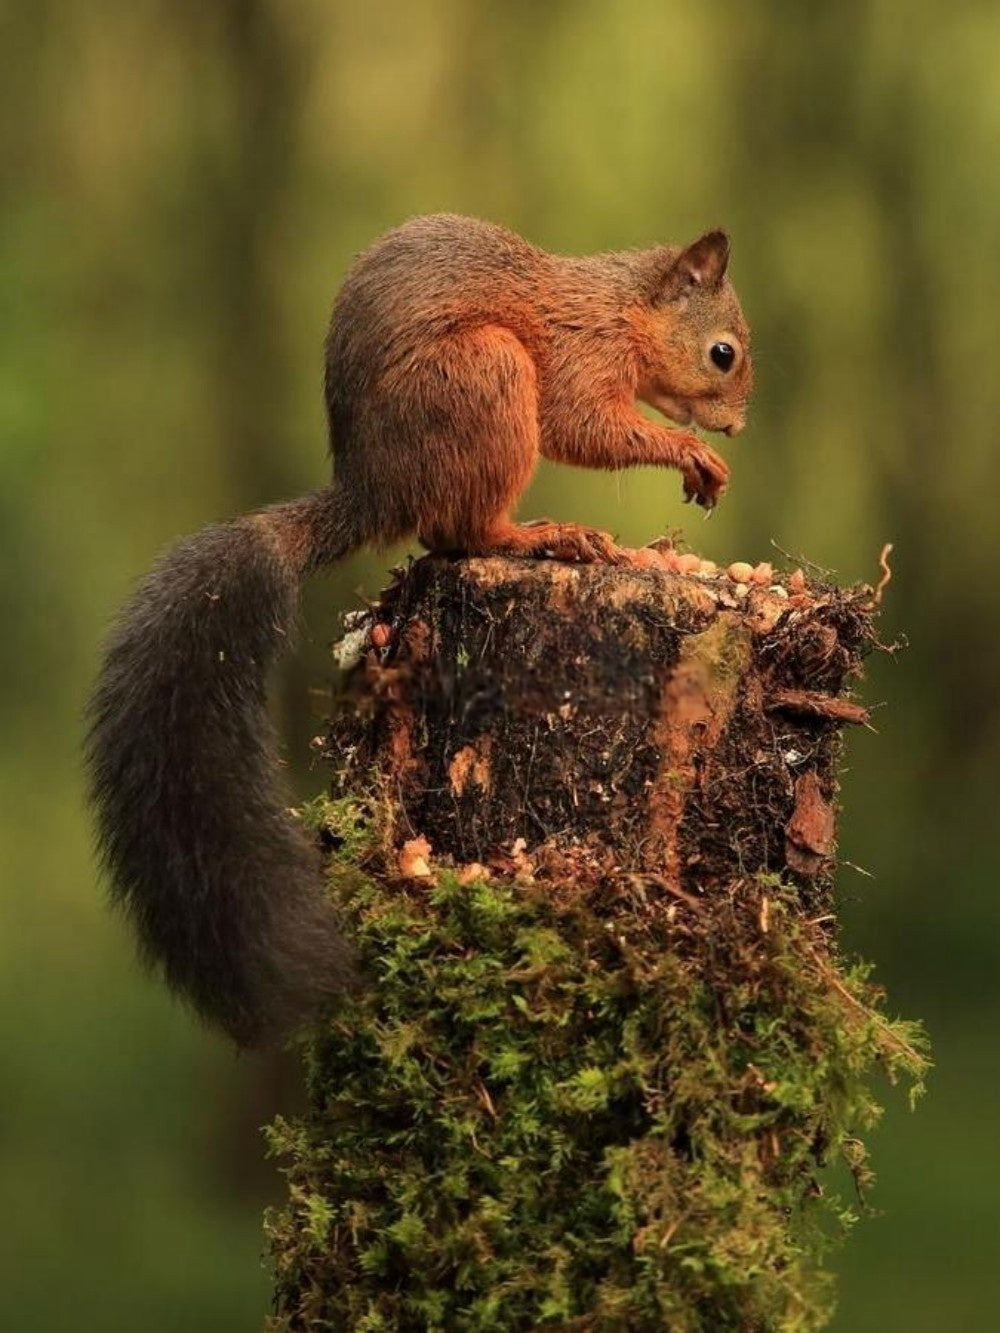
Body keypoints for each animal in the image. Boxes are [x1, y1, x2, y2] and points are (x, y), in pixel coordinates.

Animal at [86, 214, 753, 1048]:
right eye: (723, 353)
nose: (737, 425)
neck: (621, 308)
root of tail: (373, 491)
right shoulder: (580, 355)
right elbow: (584, 425)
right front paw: (692, 452)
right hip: (485, 376)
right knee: (460, 531)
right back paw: (545, 536)